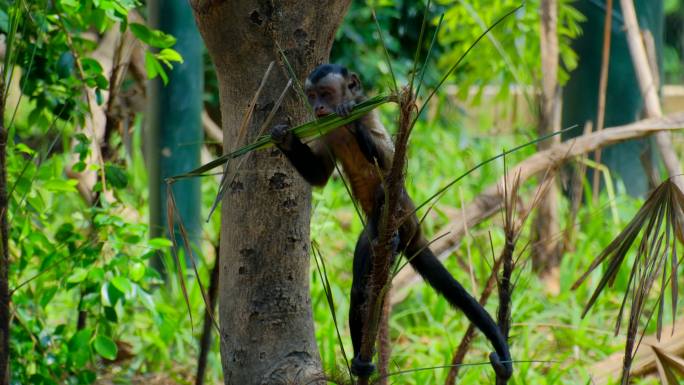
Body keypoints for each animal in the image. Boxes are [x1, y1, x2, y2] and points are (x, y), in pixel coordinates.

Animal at [270, 63, 510, 378]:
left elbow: (390, 165)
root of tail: (412, 226)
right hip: (372, 232)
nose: (319, 106)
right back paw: (360, 363)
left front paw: (350, 116)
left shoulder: (369, 114)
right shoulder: (324, 128)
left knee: (386, 201)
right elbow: (319, 176)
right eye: (311, 96)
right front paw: (283, 137)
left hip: (401, 213)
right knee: (360, 290)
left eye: (326, 93)